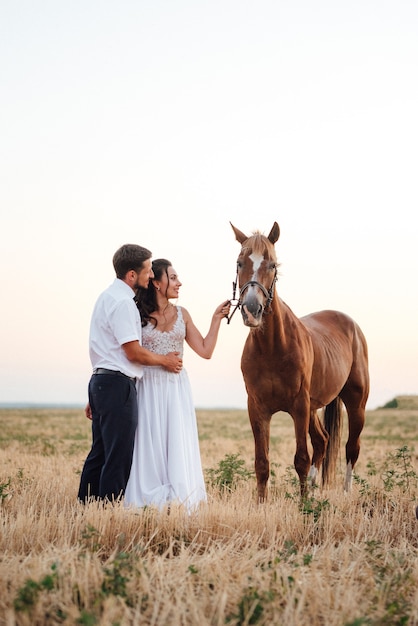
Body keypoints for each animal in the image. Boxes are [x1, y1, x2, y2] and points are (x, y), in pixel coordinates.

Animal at [230, 222, 370, 500]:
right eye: (240, 263)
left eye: (272, 264)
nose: (252, 310)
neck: (272, 347)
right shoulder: (258, 408)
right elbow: (262, 462)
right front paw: (261, 504)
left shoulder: (299, 406)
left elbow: (301, 459)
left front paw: (304, 504)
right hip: (314, 407)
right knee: (323, 440)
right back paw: (316, 486)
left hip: (355, 403)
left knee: (351, 448)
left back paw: (346, 493)